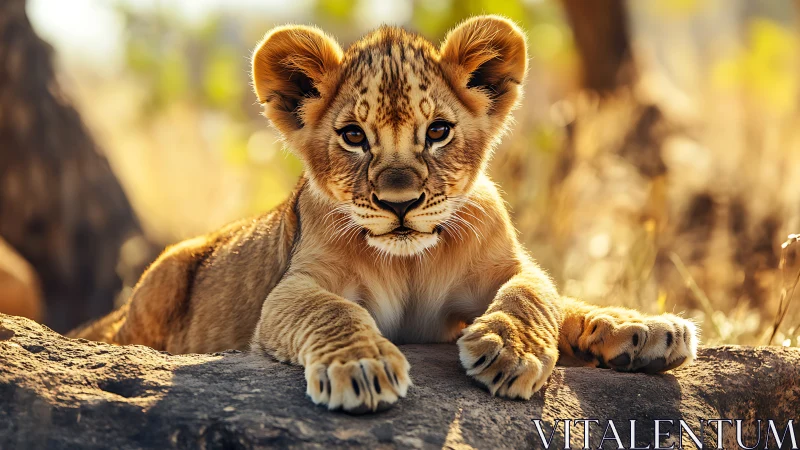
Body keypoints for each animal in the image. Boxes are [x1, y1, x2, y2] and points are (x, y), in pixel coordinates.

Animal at [71, 16, 698, 414]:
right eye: (354, 137)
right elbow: (334, 312)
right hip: (164, 274)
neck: (412, 262)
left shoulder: (509, 267)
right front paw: (363, 367)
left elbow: (537, 294)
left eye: (438, 132)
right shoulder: (291, 291)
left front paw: (516, 349)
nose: (400, 203)